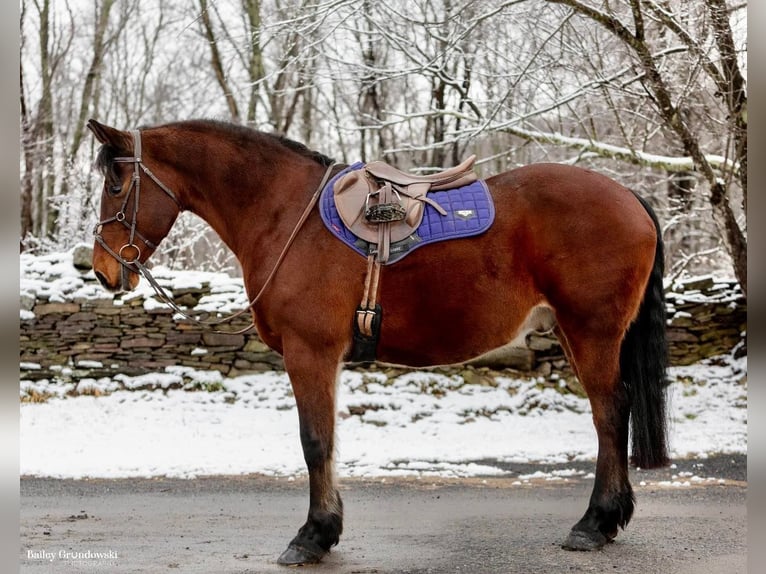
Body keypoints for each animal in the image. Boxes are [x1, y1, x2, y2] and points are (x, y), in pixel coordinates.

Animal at [87, 118, 668, 568]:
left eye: (116, 185)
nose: (103, 270)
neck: (284, 213)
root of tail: (629, 197)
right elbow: (328, 440)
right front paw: (326, 530)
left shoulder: (310, 353)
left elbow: (314, 441)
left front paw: (312, 537)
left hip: (591, 333)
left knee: (610, 412)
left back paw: (594, 524)